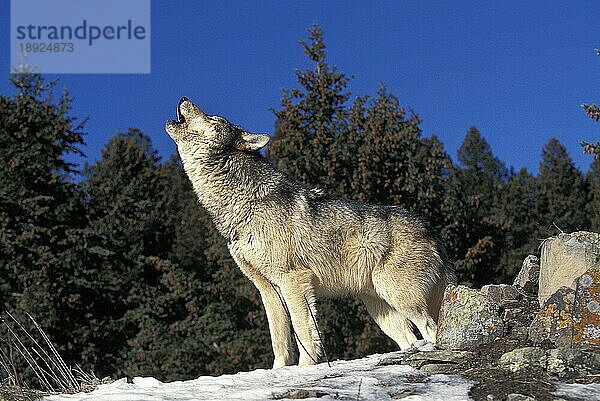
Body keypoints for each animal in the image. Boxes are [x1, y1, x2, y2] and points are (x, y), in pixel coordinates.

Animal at [164, 97, 454, 366]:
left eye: (215, 118)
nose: (183, 98)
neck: (244, 204)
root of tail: (432, 231)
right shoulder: (268, 290)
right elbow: (279, 340)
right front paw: (278, 372)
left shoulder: (294, 280)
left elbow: (304, 332)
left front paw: (305, 368)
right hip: (380, 308)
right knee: (409, 337)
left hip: (399, 296)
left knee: (430, 329)